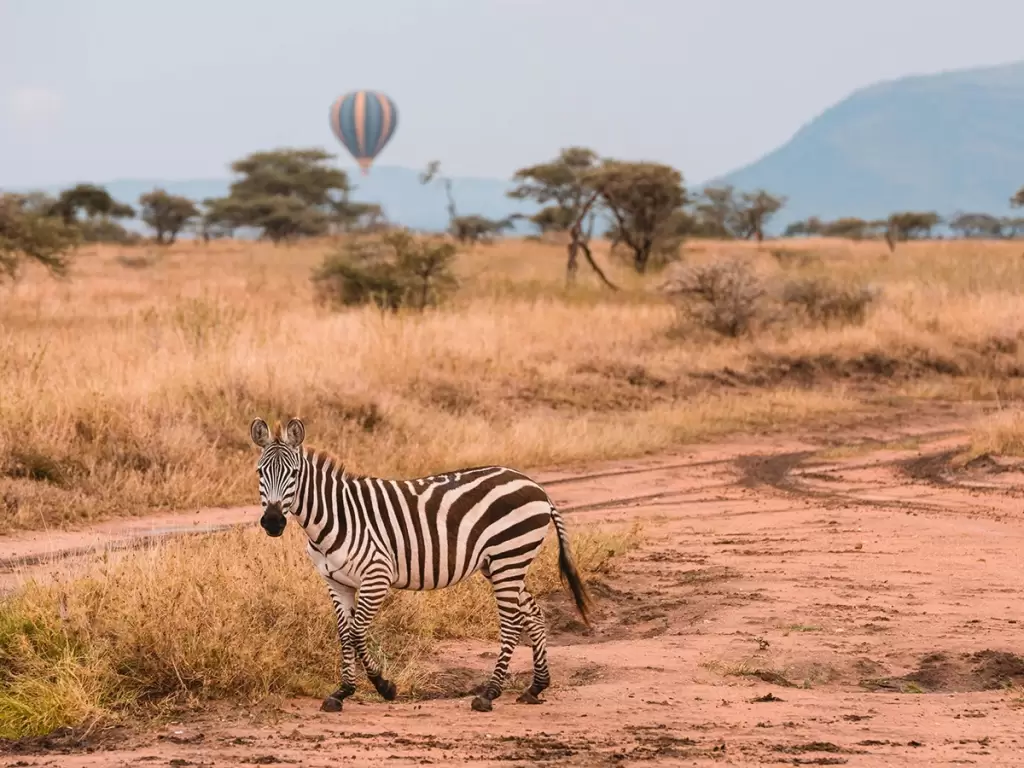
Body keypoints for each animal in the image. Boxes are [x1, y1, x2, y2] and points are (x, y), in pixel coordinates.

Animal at [249, 416, 591, 713]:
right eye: (259, 473)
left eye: (294, 474)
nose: (273, 522)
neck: (334, 516)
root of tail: (537, 487)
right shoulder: (337, 582)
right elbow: (344, 634)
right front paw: (342, 692)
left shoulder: (377, 575)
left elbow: (357, 632)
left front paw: (384, 686)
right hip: (502, 563)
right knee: (533, 614)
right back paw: (536, 686)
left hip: (510, 558)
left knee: (511, 623)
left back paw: (489, 694)